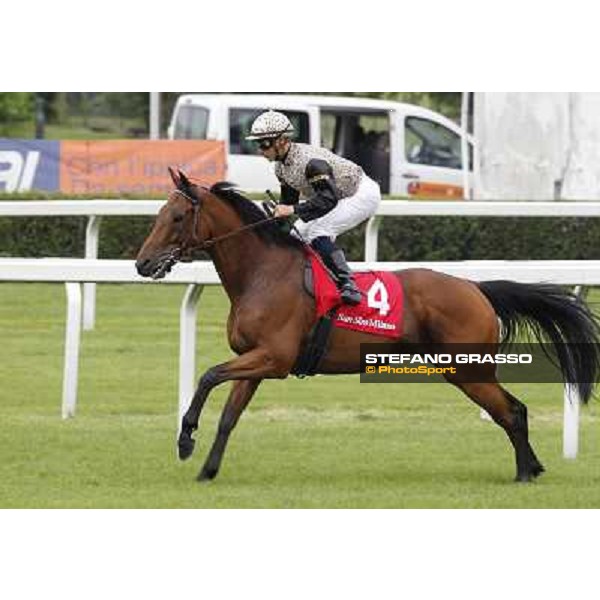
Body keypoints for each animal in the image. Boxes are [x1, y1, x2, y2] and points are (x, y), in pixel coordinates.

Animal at [136, 168, 600, 482]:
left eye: (177, 217)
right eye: (160, 212)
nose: (142, 263)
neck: (262, 274)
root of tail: (475, 288)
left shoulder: (274, 358)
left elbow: (207, 375)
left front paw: (185, 440)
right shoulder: (256, 361)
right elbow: (229, 415)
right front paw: (206, 469)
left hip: (467, 369)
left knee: (512, 411)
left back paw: (524, 471)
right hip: (467, 370)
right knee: (513, 410)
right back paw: (532, 467)